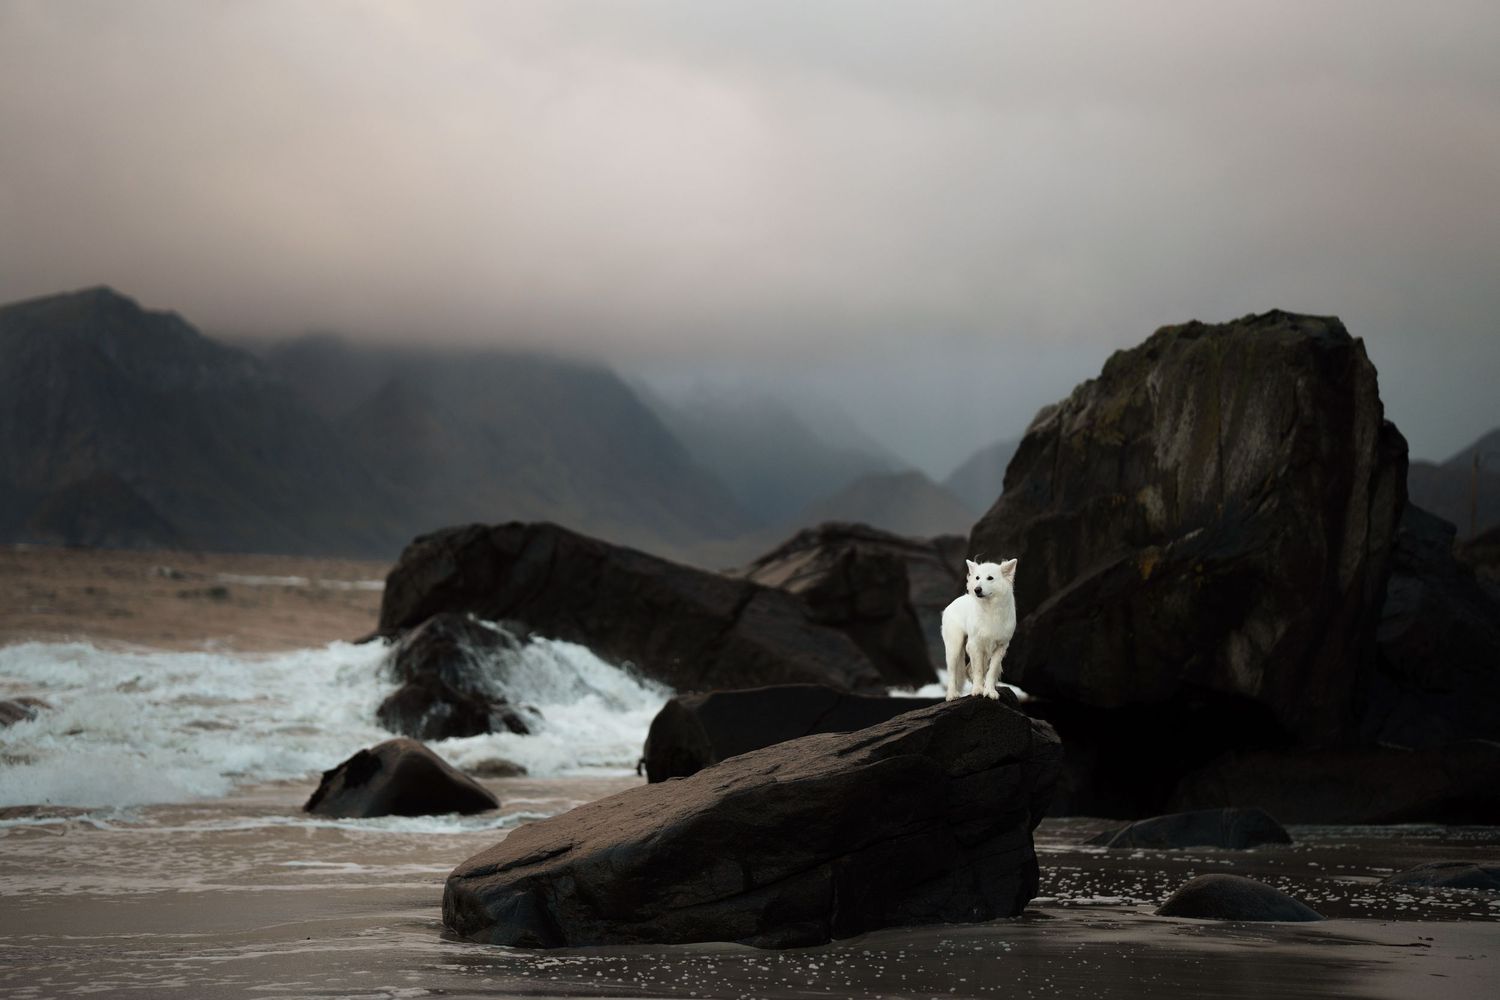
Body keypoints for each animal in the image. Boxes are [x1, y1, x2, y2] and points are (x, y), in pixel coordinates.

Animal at [942, 558, 1018, 700]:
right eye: (977, 578)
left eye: (990, 578)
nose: (977, 589)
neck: (990, 610)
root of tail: (952, 603)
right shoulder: (975, 645)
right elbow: (978, 670)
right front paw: (977, 690)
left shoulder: (1001, 647)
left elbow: (991, 671)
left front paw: (990, 691)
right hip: (954, 647)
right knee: (952, 672)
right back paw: (952, 695)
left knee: (968, 670)